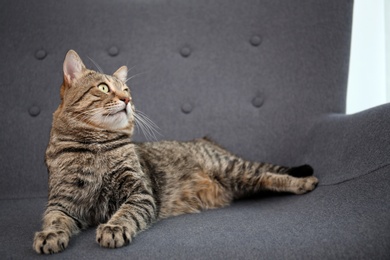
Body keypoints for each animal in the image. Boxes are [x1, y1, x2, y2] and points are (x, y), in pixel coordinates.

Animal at [32, 50, 320, 254]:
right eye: (103, 87)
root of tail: (207, 140)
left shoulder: (139, 192)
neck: (96, 147)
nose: (127, 100)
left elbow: (126, 213)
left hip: (235, 169)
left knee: (271, 174)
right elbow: (54, 220)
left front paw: (114, 227)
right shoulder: (61, 201)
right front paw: (50, 236)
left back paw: (304, 181)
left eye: (126, 90)